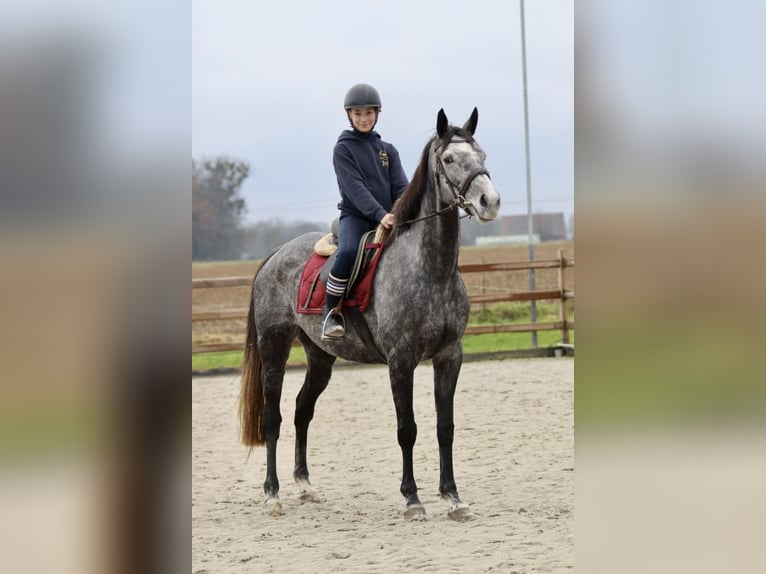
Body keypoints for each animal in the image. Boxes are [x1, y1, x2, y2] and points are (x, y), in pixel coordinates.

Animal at [240, 107, 504, 520]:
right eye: (448, 159)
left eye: (482, 156)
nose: (489, 201)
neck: (430, 269)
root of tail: (275, 255)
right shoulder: (401, 361)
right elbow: (407, 429)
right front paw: (412, 498)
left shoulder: (450, 356)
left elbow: (445, 427)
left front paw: (452, 496)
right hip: (274, 347)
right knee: (273, 417)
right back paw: (273, 494)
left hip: (320, 357)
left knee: (301, 410)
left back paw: (306, 485)